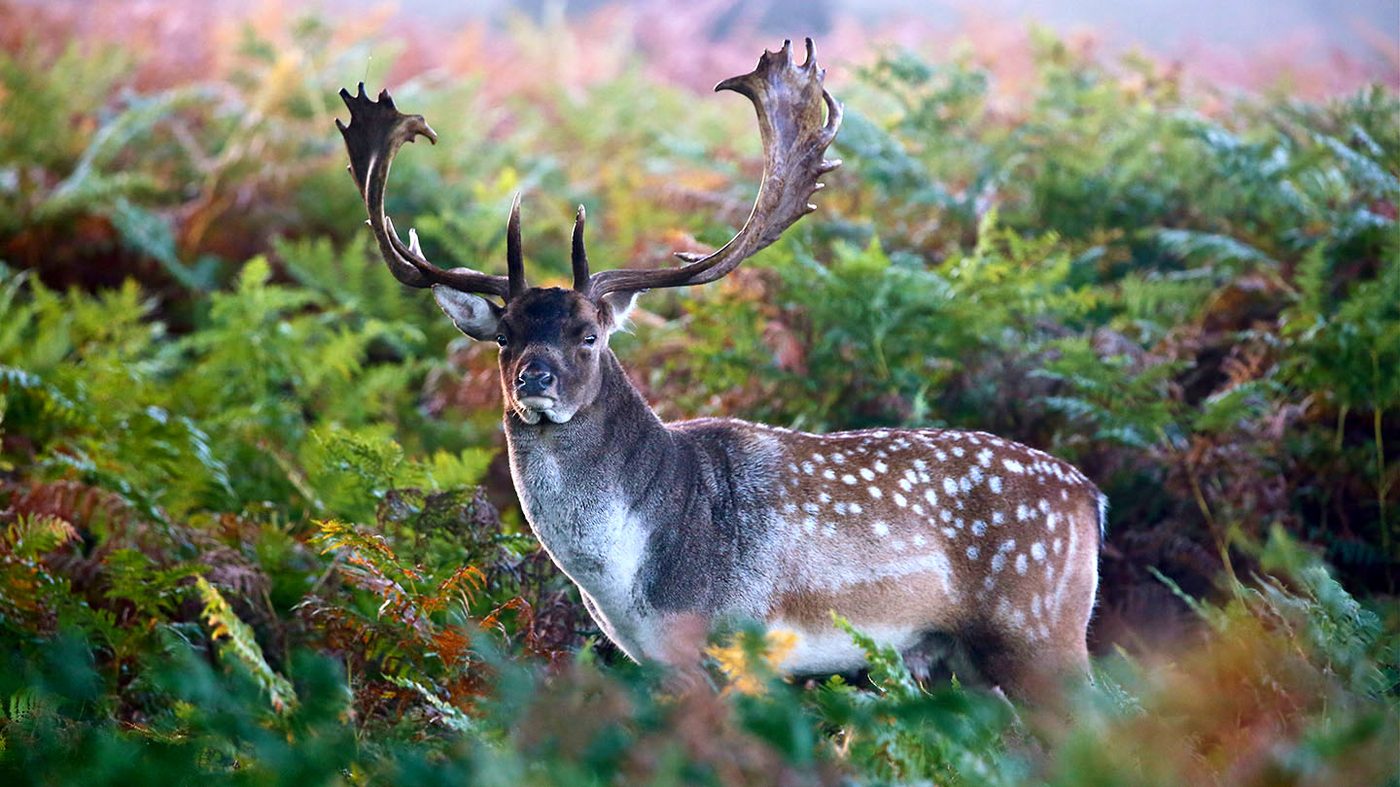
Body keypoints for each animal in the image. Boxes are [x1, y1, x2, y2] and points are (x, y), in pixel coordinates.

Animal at [336, 39, 1104, 703]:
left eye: (589, 335)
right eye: (503, 336)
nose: (534, 378)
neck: (628, 579)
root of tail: (1091, 499)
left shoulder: (729, 642)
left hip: (1041, 631)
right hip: (959, 657)